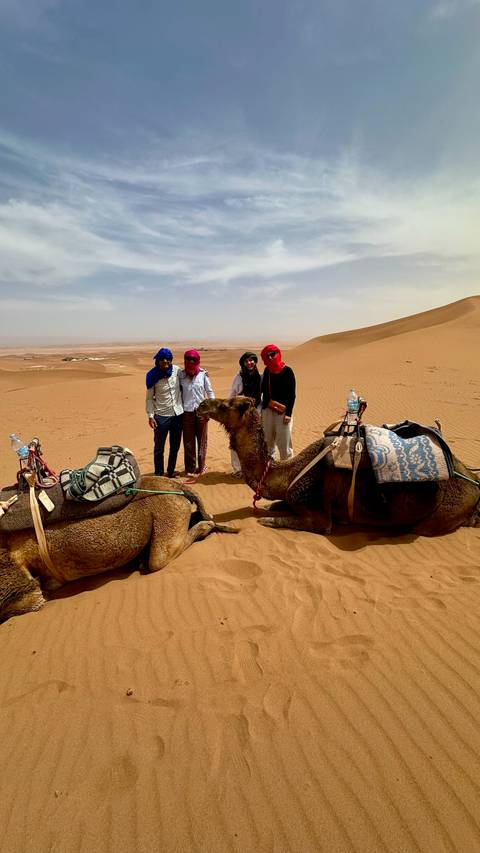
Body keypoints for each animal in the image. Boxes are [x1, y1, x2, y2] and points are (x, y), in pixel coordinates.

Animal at [0, 474, 236, 623]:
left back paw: (206, 527)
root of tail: (178, 487)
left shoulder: (22, 588)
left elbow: (32, 599)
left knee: (160, 557)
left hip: (168, 511)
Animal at [198, 396, 480, 536]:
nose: (201, 405)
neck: (289, 471)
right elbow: (275, 504)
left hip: (440, 515)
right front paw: (270, 507)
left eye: (225, 405)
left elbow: (282, 519)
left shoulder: (318, 514)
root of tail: (471, 480)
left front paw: (268, 519)